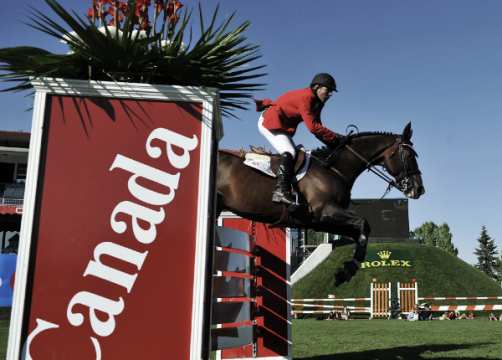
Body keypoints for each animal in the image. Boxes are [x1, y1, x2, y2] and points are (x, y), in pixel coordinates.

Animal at [218, 122, 426, 286]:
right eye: (409, 155)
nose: (418, 189)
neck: (333, 169)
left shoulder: (321, 222)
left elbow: (359, 233)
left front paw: (347, 270)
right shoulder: (325, 212)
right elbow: (363, 224)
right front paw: (347, 270)